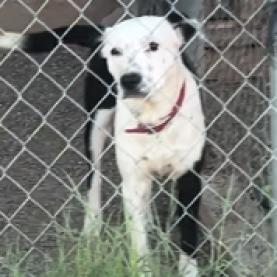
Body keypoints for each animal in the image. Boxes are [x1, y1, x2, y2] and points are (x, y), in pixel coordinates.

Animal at [0, 13, 205, 276]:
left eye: (153, 46)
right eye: (115, 52)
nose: (129, 79)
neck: (153, 119)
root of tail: (102, 29)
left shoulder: (190, 178)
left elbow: (188, 235)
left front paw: (188, 269)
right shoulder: (131, 181)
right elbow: (138, 242)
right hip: (95, 124)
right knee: (94, 178)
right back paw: (92, 226)